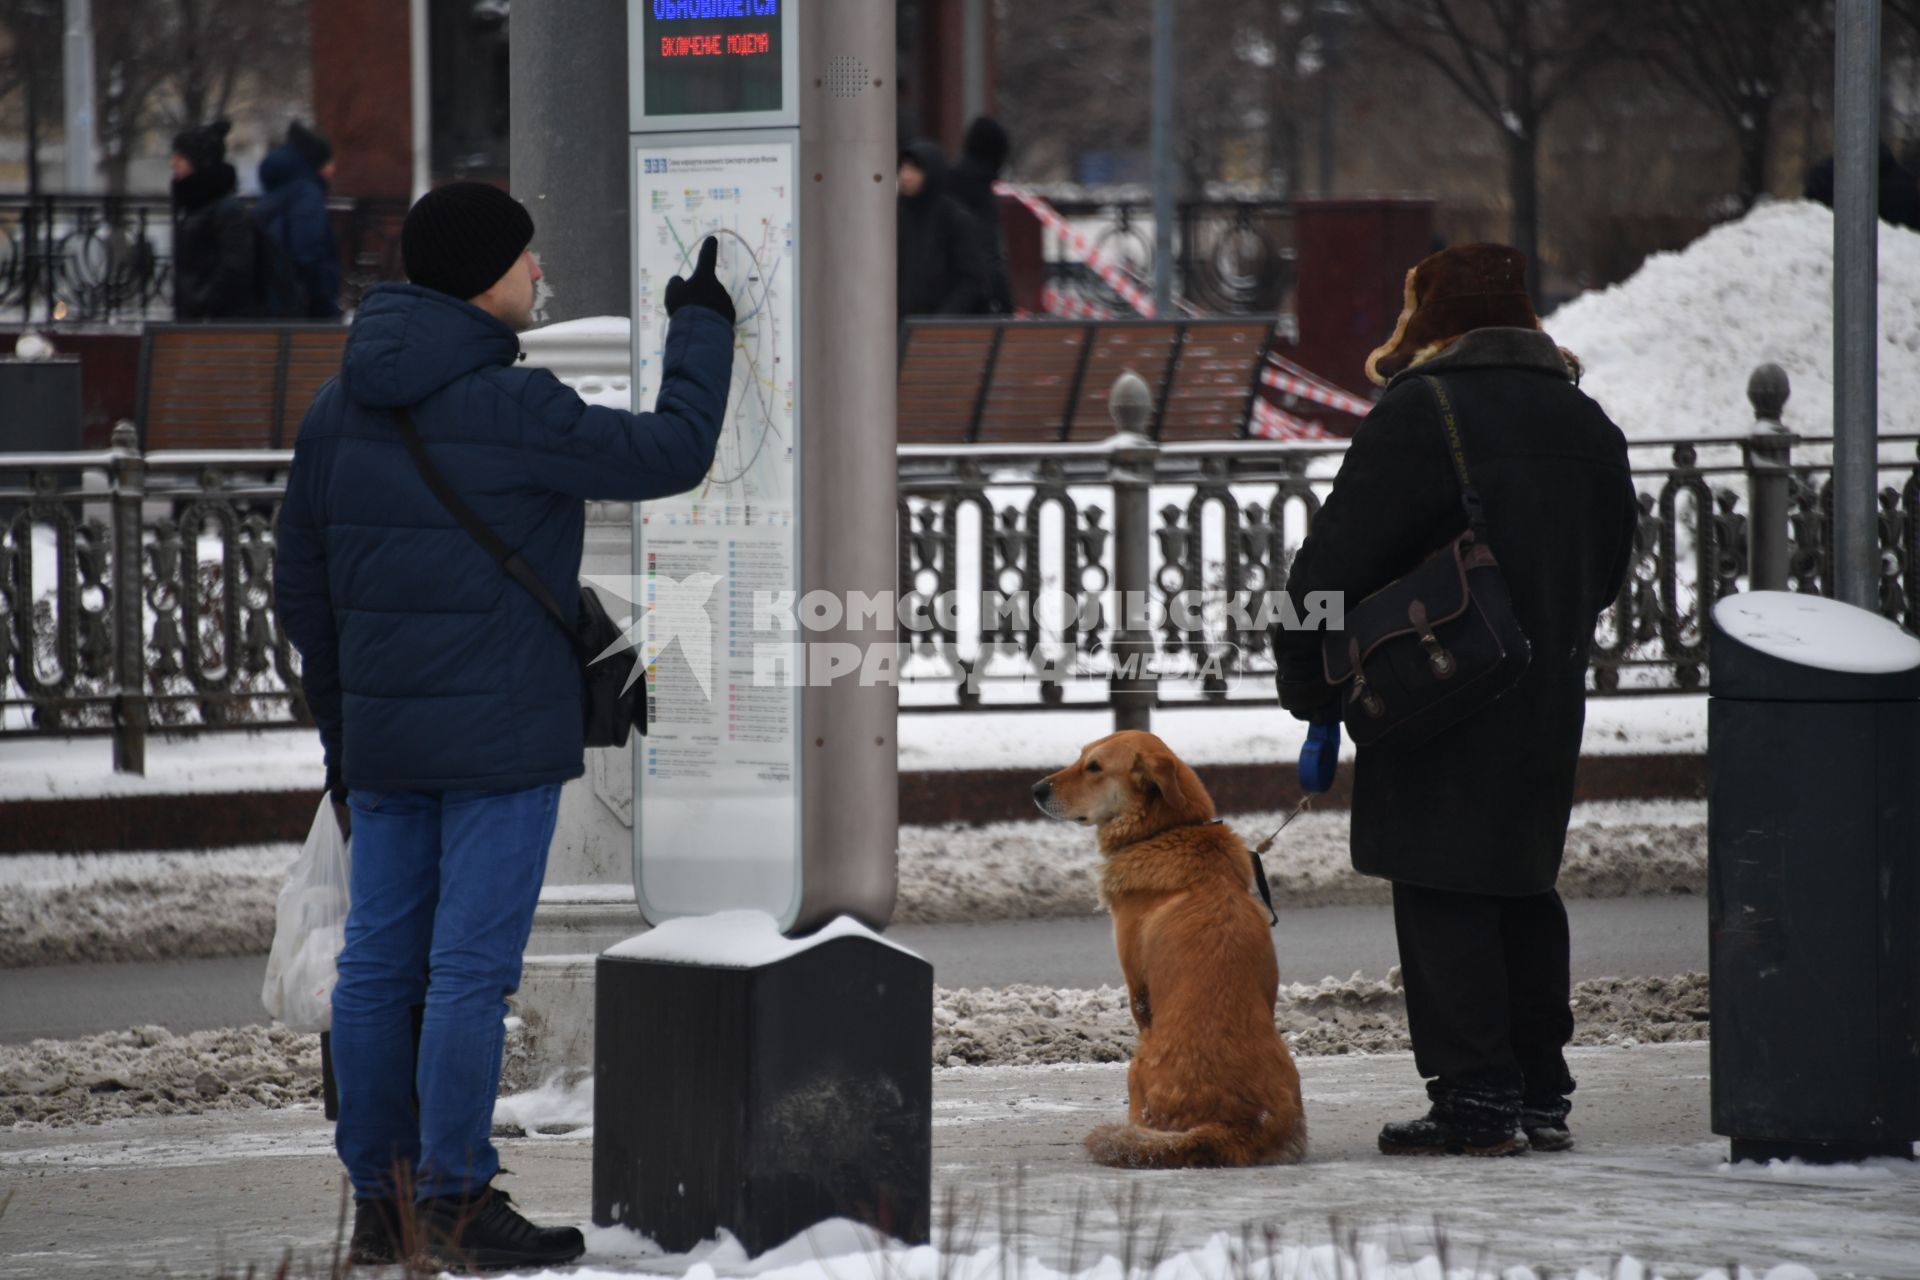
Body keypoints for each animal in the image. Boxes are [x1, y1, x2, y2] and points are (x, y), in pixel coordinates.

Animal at [1036, 729, 1305, 1174]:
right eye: (1081, 756)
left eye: (1094, 767)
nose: (1035, 790)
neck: (1166, 832)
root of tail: (1235, 1125)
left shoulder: (1139, 991)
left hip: (1137, 1064)